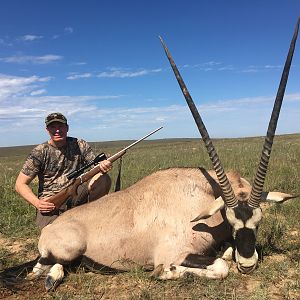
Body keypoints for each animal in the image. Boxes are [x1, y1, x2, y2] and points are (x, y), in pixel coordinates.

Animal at [27, 18, 298, 290]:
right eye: (230, 220)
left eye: (259, 220)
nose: (248, 264)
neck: (202, 194)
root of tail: (51, 227)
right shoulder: (175, 252)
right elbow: (220, 266)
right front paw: (165, 272)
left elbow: (226, 254)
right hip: (66, 250)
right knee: (42, 265)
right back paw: (51, 277)